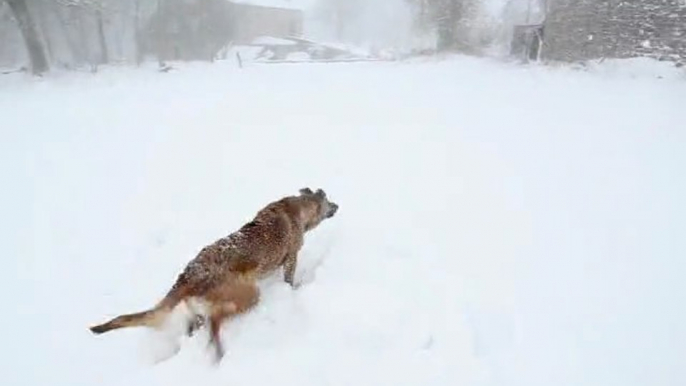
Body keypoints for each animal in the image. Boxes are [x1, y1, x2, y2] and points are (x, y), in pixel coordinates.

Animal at [91, 188, 338, 360]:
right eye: (328, 202)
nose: (338, 205)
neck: (296, 207)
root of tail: (187, 277)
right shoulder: (291, 258)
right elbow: (290, 279)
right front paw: (294, 289)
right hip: (248, 295)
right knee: (216, 322)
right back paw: (218, 351)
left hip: (199, 310)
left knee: (200, 325)